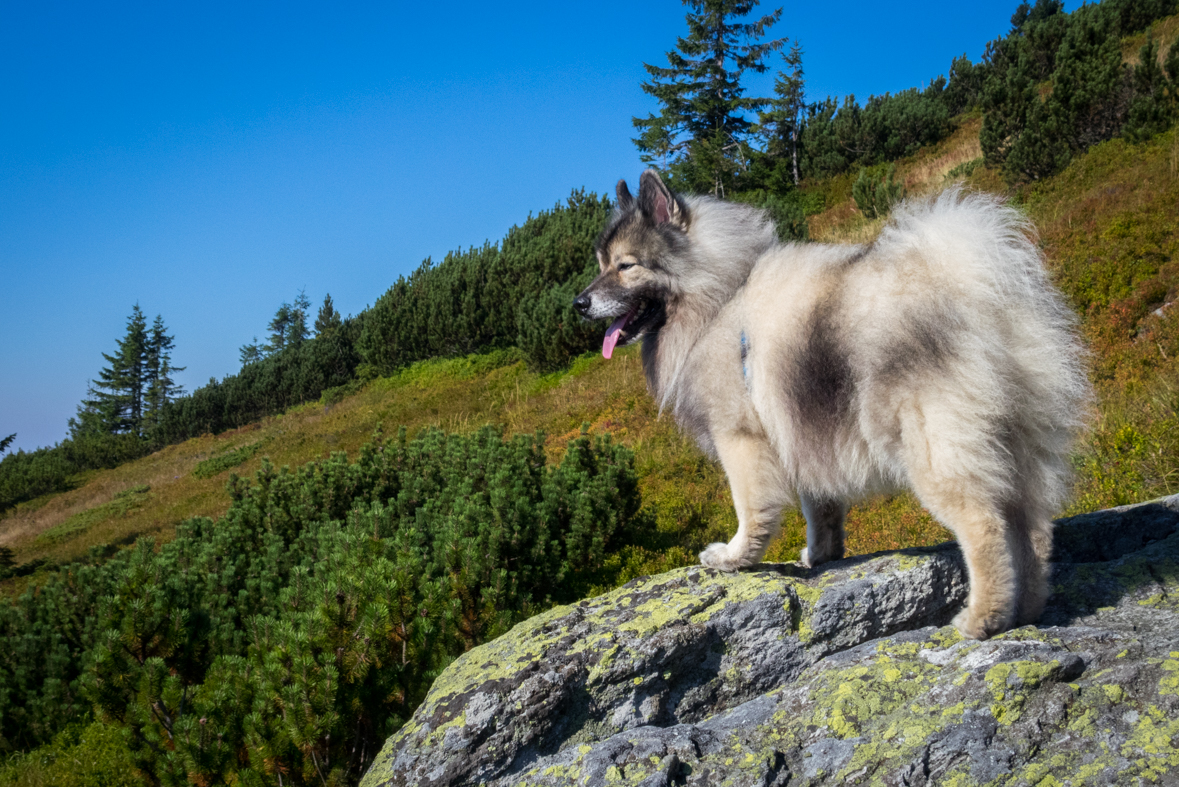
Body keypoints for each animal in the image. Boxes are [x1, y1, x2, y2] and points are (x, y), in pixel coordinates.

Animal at [570, 169, 1084, 636]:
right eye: (601, 263)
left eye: (626, 266)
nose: (579, 303)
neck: (718, 299)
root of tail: (975, 286)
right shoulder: (799, 431)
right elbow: (820, 509)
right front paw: (820, 556)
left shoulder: (741, 437)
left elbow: (751, 509)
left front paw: (735, 558)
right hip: (1018, 442)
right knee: (1032, 530)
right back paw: (1028, 609)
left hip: (934, 447)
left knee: (984, 526)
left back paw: (983, 619)